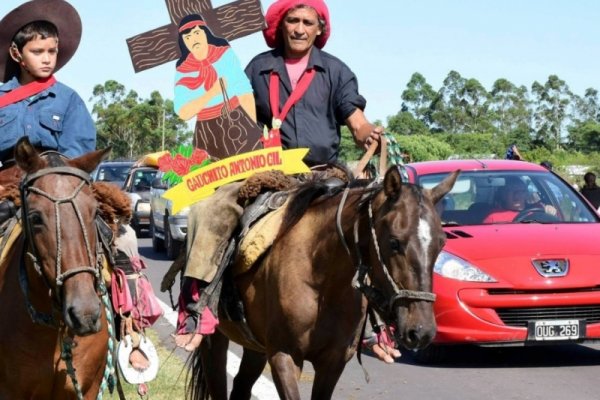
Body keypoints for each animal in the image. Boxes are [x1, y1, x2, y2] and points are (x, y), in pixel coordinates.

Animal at [190, 166, 458, 400]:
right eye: (394, 242)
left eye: (442, 243)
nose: (421, 331)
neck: (322, 284)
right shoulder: (284, 357)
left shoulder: (333, 362)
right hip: (215, 340)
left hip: (255, 346)